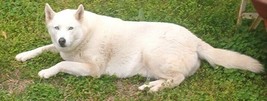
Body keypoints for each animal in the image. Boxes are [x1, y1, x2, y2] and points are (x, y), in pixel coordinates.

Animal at [16, 3, 264, 92]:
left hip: (152, 52)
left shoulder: (92, 70)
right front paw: (24, 55)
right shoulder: (59, 48)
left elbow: (60, 63)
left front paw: (46, 71)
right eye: (57, 28)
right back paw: (152, 85)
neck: (85, 34)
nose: (62, 41)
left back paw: (154, 88)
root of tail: (195, 40)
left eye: (71, 28)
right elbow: (43, 48)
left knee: (178, 78)